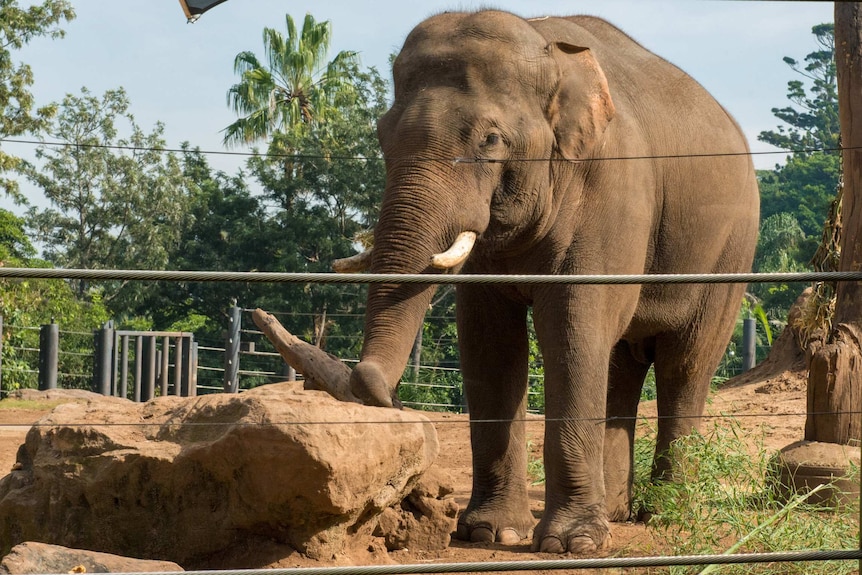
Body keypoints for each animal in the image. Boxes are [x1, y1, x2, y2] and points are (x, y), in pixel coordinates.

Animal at [334, 9, 760, 556]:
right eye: (382, 137)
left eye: (490, 141)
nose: (372, 386)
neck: (548, 48)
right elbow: (490, 340)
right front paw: (487, 533)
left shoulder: (612, 189)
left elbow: (572, 327)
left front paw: (571, 544)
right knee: (620, 362)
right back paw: (618, 513)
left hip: (729, 254)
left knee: (684, 364)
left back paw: (667, 514)